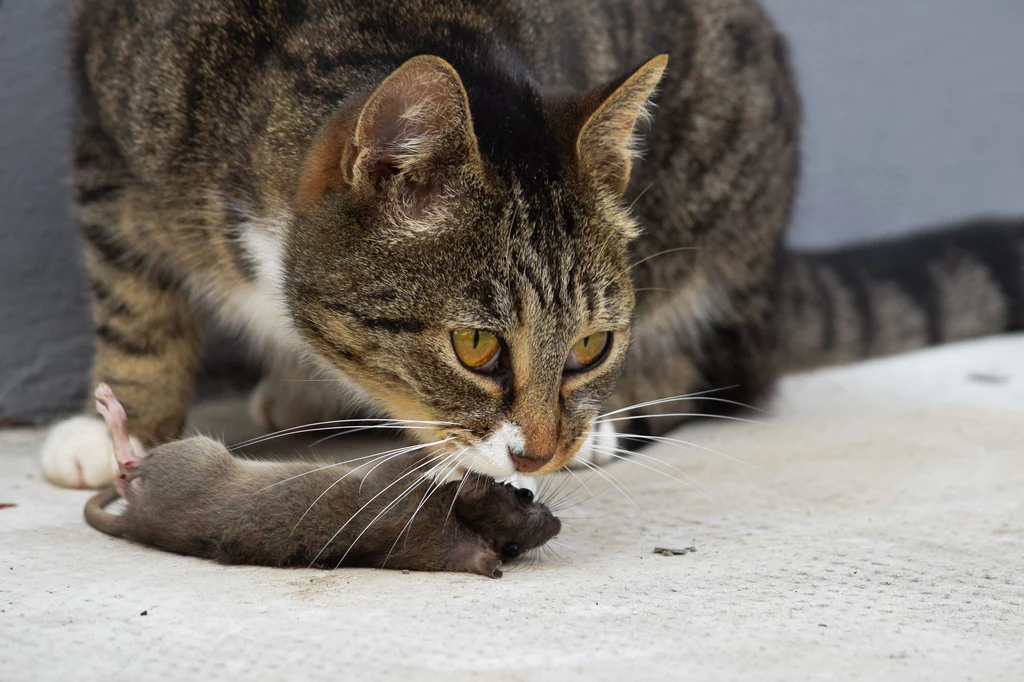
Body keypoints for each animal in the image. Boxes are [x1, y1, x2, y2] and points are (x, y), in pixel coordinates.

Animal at [41, 0, 1024, 489]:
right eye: (476, 347)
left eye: (591, 346)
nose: (545, 451)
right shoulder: (105, 148)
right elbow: (134, 306)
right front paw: (119, 424)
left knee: (725, 367)